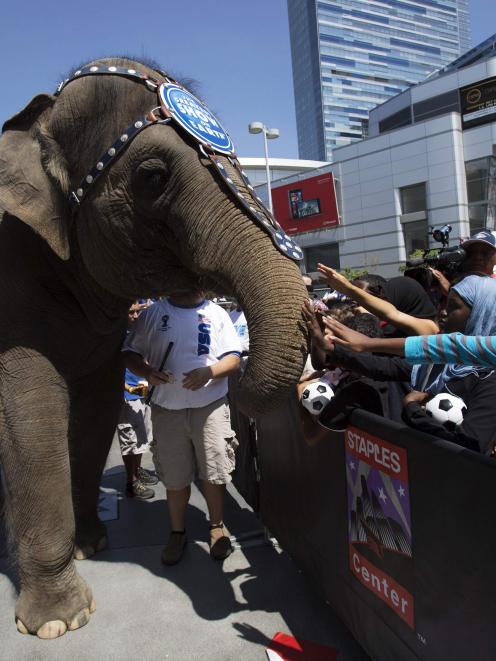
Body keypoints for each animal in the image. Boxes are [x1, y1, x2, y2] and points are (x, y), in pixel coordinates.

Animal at [0, 58, 310, 640]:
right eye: (153, 177)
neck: (37, 119)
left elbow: (96, 406)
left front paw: (92, 545)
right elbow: (30, 414)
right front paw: (59, 621)